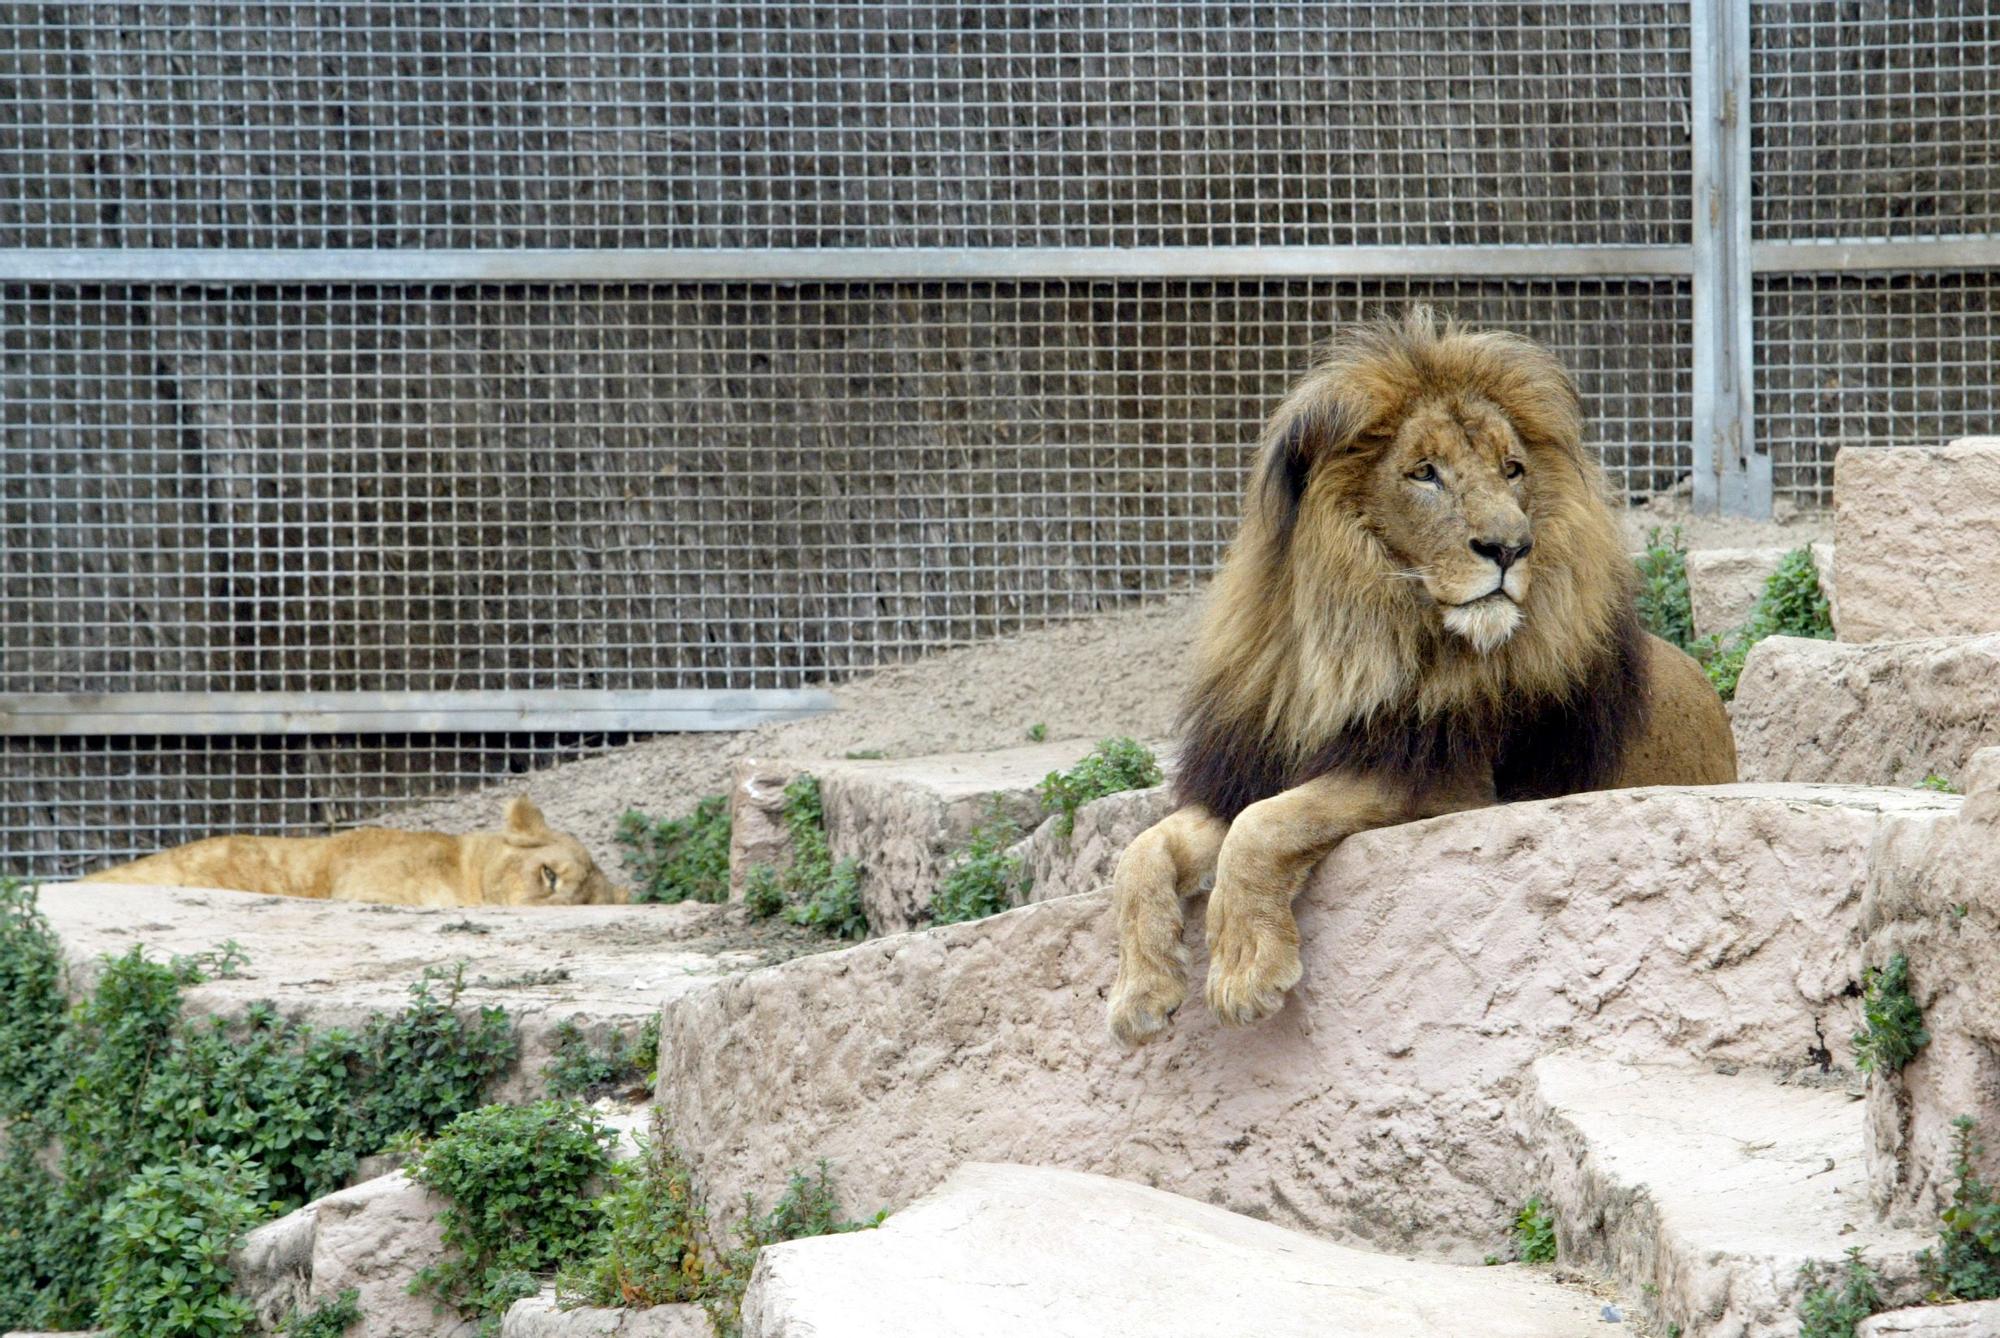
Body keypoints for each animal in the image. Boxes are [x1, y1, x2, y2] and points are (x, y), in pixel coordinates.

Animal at [1112, 306, 1736, 1040]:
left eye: (1512, 469)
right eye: (1425, 473)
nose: (1511, 547)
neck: (1356, 638)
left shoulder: (1446, 782)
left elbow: (1265, 825)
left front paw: (1244, 969)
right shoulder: (1248, 767)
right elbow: (1141, 850)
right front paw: (1138, 991)